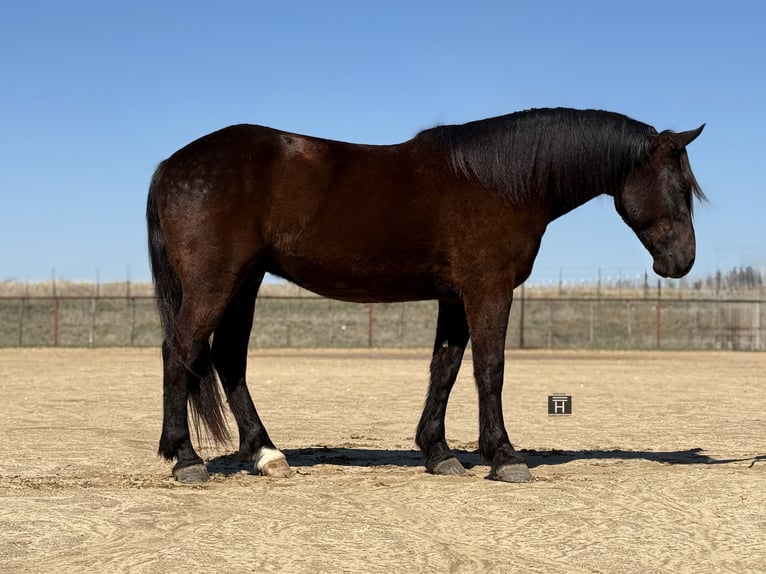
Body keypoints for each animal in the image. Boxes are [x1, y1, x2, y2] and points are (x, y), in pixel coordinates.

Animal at [146, 107, 705, 483]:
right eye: (680, 186)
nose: (682, 262)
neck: (502, 181)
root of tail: (171, 164)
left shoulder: (456, 298)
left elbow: (446, 369)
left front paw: (439, 454)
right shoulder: (487, 289)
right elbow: (490, 368)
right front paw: (504, 457)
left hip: (247, 281)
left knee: (228, 358)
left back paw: (266, 454)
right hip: (216, 283)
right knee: (181, 352)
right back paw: (187, 459)